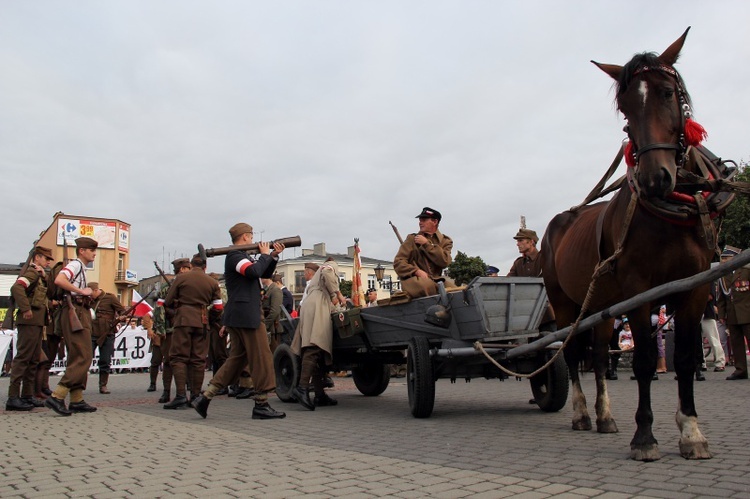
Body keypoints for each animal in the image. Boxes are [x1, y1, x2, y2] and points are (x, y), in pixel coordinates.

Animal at [544, 29, 732, 462]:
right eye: (625, 106)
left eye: (667, 92)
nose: (653, 179)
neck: (671, 213)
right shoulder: (638, 291)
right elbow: (645, 359)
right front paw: (644, 436)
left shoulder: (694, 287)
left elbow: (684, 358)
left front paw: (690, 430)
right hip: (564, 303)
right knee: (571, 352)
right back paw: (582, 413)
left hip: (599, 306)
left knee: (597, 356)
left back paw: (604, 415)